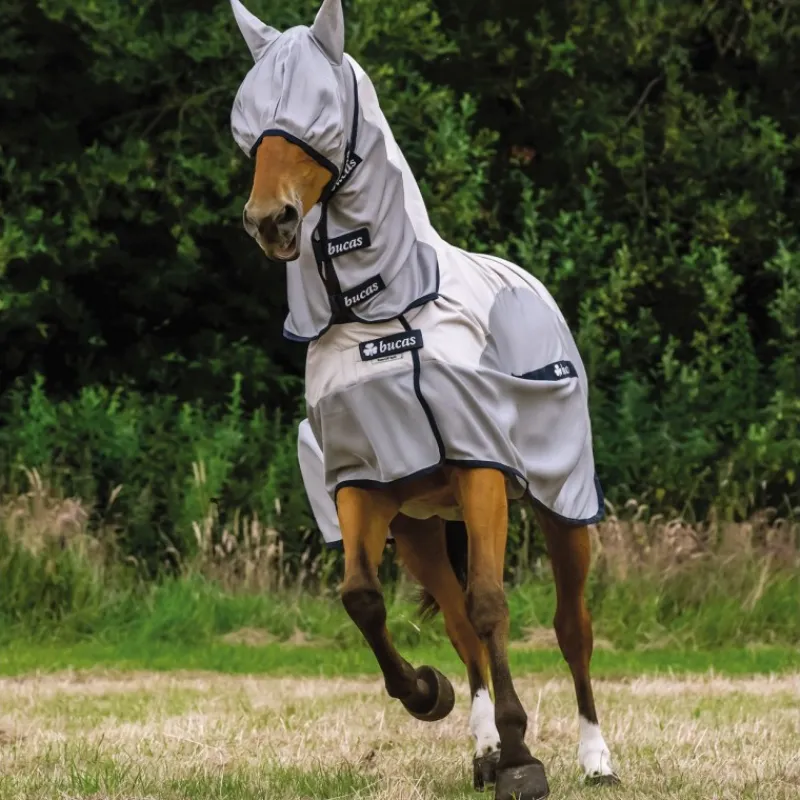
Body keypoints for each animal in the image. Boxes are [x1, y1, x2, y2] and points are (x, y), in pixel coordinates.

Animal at [227, 2, 620, 798]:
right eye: (248, 122)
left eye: (319, 109)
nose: (270, 221)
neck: (384, 314)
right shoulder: (364, 480)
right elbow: (364, 599)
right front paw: (430, 697)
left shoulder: (481, 469)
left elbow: (493, 603)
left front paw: (524, 760)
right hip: (419, 528)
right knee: (460, 627)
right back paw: (482, 749)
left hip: (564, 505)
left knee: (572, 625)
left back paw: (595, 758)